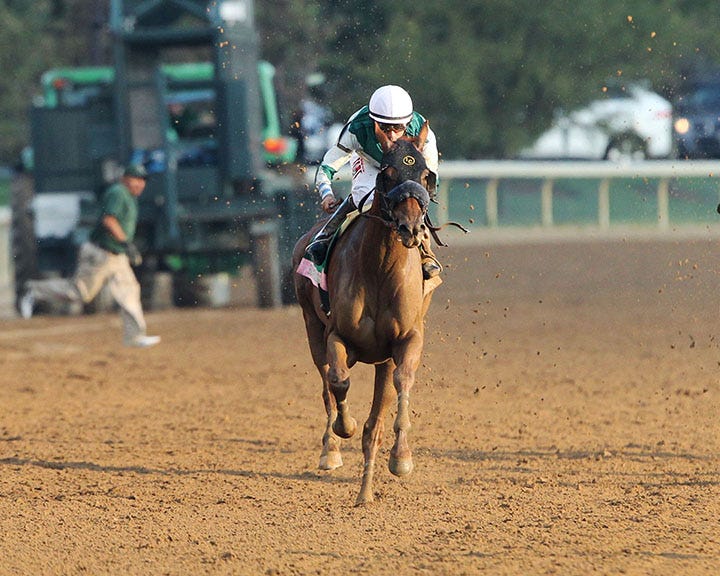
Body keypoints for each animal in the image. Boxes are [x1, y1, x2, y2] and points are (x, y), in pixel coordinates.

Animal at [292, 121, 439, 505]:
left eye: (425, 174)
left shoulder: (406, 340)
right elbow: (339, 382)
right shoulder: (338, 336)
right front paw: (345, 428)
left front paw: (400, 459)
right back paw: (330, 451)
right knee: (326, 382)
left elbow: (401, 384)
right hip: (311, 326)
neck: (380, 269)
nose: (411, 227)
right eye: (388, 172)